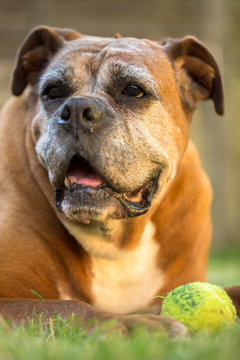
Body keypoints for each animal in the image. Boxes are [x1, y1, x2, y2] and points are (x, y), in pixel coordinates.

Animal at [0, 26, 239, 338]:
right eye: (53, 92)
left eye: (133, 90)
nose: (76, 109)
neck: (116, 241)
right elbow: (66, 308)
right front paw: (138, 325)